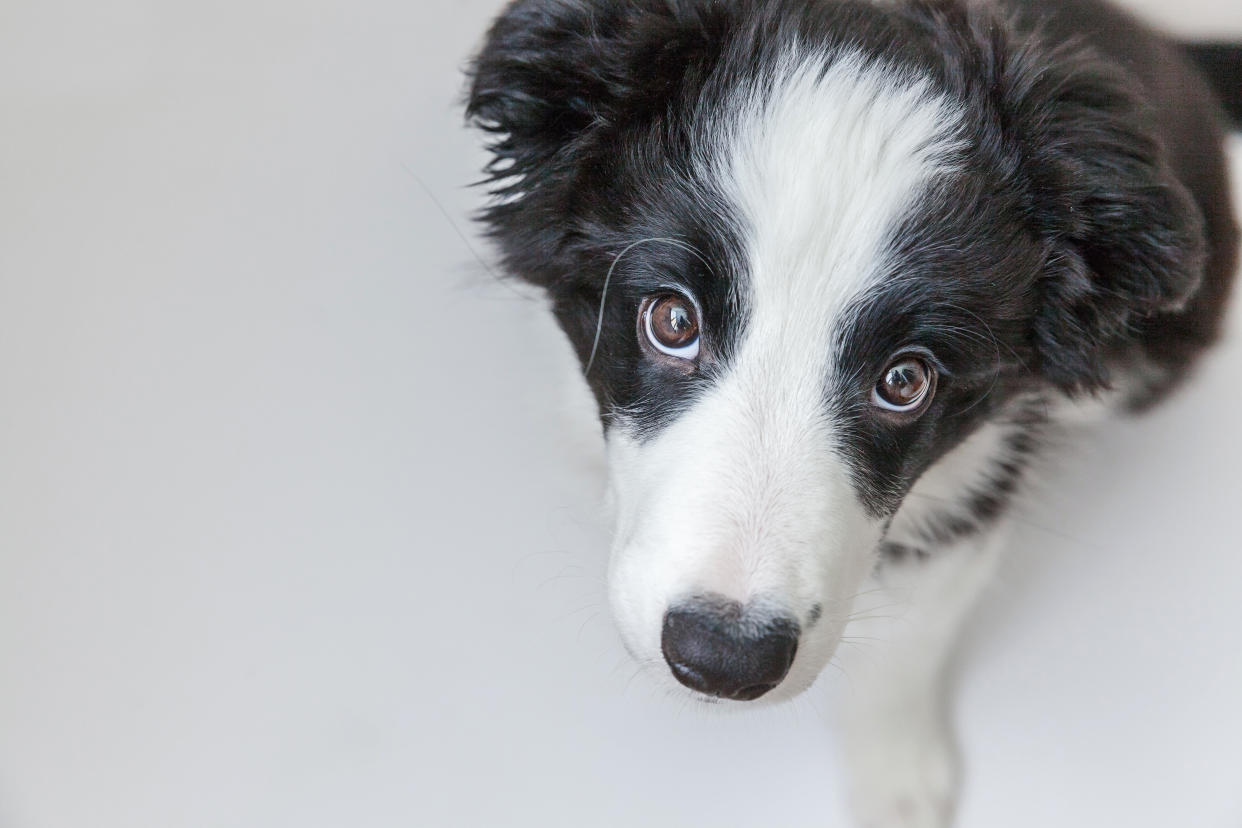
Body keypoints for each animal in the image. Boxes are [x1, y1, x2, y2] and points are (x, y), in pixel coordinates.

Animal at [466, 1, 1242, 824]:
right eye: (672, 321)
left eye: (905, 380)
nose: (723, 659)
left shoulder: (977, 480)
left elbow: (911, 641)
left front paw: (894, 780)